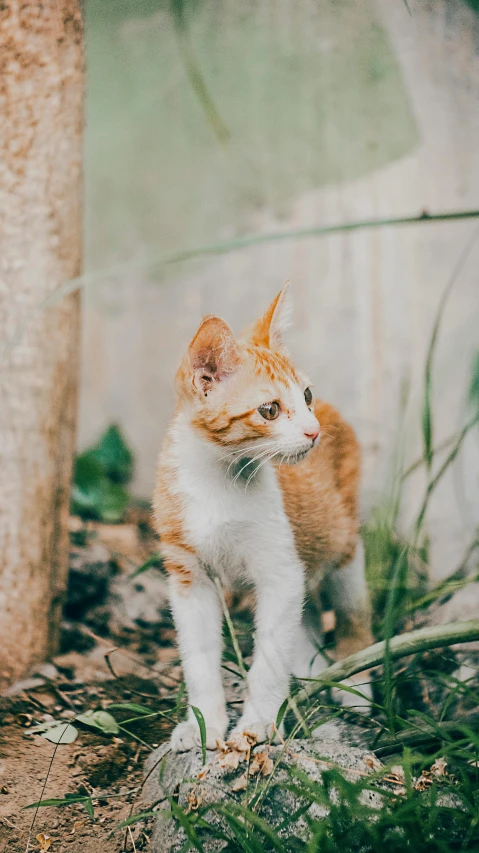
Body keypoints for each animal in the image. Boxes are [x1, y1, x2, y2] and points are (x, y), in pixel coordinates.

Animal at [154, 286, 376, 752]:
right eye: (270, 410)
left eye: (305, 396)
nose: (313, 432)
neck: (218, 482)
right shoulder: (188, 576)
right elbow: (199, 657)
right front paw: (203, 724)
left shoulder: (278, 569)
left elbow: (269, 658)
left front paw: (256, 725)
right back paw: (310, 665)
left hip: (343, 543)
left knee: (352, 612)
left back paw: (355, 685)